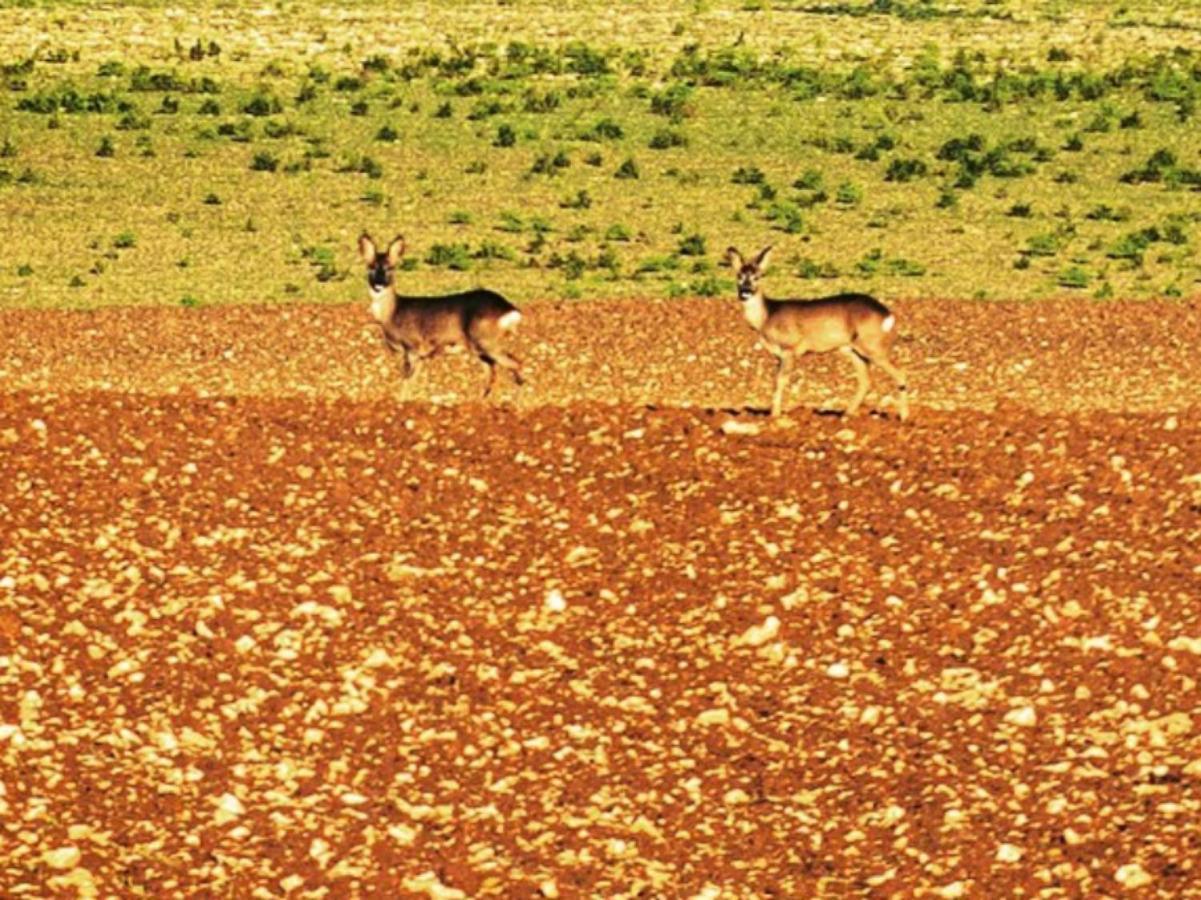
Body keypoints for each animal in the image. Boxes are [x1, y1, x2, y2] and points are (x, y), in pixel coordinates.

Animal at [357, 235, 523, 396]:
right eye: (371, 267)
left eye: (390, 268)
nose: (379, 284)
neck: (393, 313)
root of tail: (509, 309)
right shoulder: (416, 355)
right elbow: (410, 382)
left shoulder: (413, 346)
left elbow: (406, 383)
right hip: (480, 347)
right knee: (493, 373)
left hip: (487, 341)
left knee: (516, 364)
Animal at [720, 243, 907, 420]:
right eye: (739, 276)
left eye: (757, 277)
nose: (745, 292)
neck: (767, 316)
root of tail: (886, 314)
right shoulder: (778, 355)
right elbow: (775, 381)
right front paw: (773, 413)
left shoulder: (790, 348)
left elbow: (780, 381)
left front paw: (775, 415)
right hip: (852, 350)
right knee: (865, 380)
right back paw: (846, 415)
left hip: (873, 346)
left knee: (900, 375)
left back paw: (904, 417)